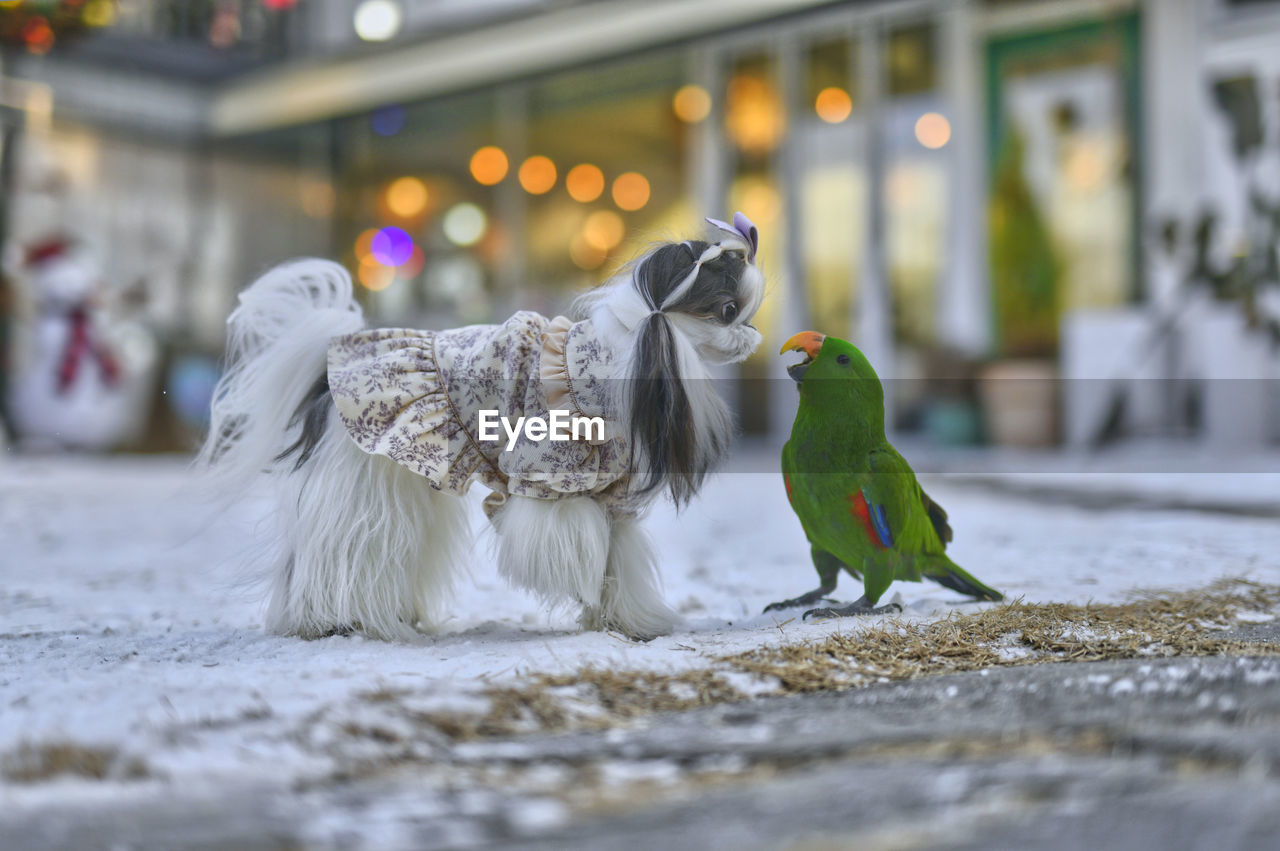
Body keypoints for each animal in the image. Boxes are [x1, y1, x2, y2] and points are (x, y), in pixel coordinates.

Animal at [194, 212, 762, 637]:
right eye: (729, 309)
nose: (754, 334)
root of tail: (331, 366)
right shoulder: (551, 481)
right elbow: (576, 543)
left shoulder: (611, 495)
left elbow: (618, 559)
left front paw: (626, 622)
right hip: (365, 481)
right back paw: (326, 621)